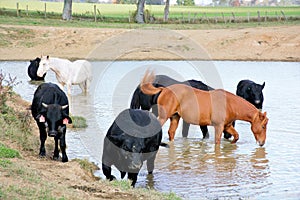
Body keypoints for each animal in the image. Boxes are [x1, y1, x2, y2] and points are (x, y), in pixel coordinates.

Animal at [141, 70, 270, 145]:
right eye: (263, 126)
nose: (262, 143)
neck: (230, 103)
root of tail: (164, 89)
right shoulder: (218, 126)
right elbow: (217, 142)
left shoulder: (227, 126)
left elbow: (236, 136)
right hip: (164, 116)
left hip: (175, 117)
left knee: (171, 132)